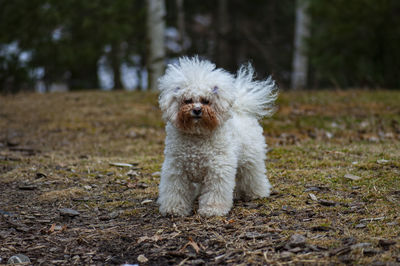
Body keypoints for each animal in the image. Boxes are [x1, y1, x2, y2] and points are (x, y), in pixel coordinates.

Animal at [157, 56, 278, 216]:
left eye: (206, 101)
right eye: (188, 100)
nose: (197, 110)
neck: (197, 134)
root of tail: (241, 111)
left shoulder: (218, 168)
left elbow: (215, 191)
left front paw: (212, 209)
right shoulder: (176, 168)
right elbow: (176, 189)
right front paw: (174, 209)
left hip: (251, 159)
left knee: (253, 176)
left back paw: (257, 193)